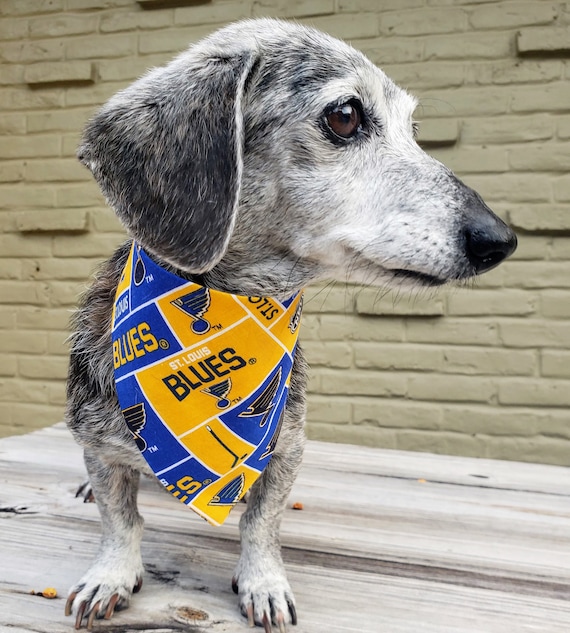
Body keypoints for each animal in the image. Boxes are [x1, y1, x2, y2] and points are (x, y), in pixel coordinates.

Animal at [63, 17, 516, 628]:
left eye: (413, 128)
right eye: (345, 115)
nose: (501, 239)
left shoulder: (286, 451)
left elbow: (260, 523)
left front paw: (264, 582)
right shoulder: (100, 444)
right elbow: (120, 518)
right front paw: (110, 573)